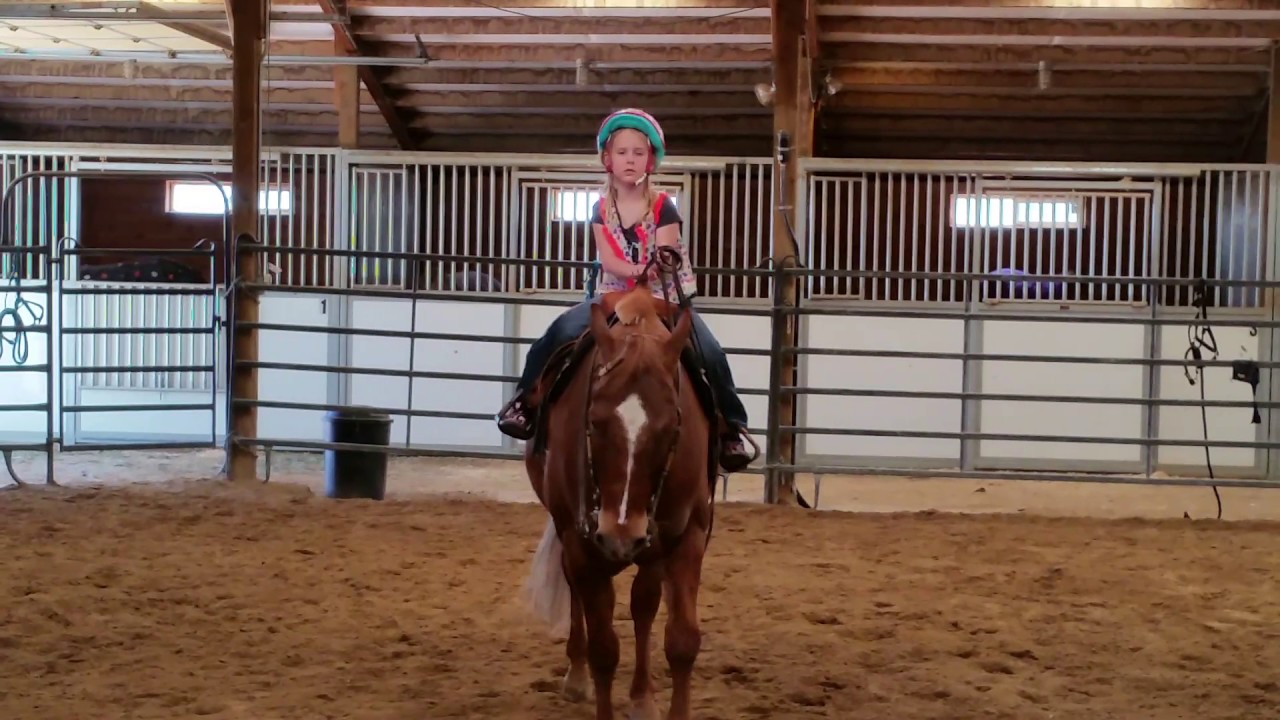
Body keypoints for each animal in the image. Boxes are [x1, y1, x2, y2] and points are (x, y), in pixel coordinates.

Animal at [520, 266, 720, 720]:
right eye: (593, 422)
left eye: (672, 427)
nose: (620, 534)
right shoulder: (581, 539)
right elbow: (604, 649)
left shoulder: (688, 533)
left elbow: (681, 640)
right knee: (578, 594)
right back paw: (576, 677)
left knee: (644, 604)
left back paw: (643, 697)